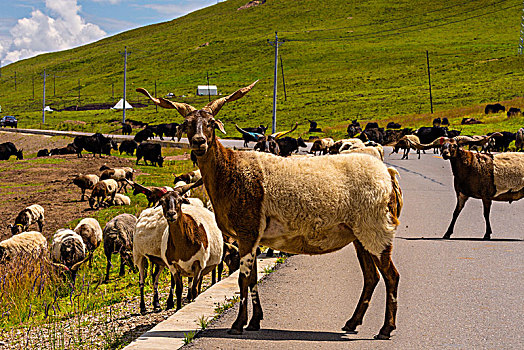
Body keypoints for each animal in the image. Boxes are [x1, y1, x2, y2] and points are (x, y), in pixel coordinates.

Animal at [137, 80, 404, 340]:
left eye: (211, 123)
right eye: (187, 124)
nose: (199, 142)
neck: (231, 171)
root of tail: (388, 175)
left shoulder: (247, 231)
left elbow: (243, 279)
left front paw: (238, 324)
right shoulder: (252, 237)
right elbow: (252, 279)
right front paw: (255, 321)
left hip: (376, 229)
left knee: (391, 275)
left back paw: (386, 329)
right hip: (361, 235)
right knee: (371, 277)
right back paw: (352, 323)